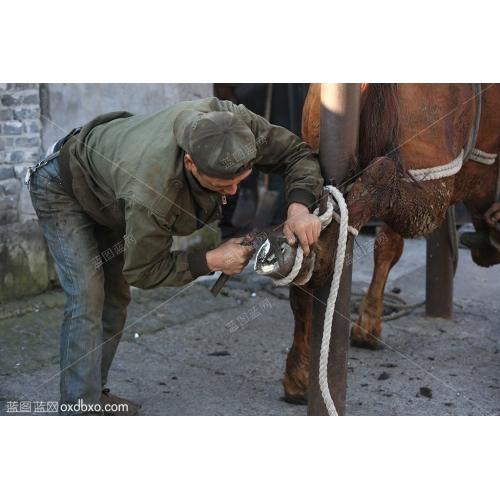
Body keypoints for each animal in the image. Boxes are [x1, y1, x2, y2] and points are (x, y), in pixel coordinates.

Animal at [282, 82, 500, 402]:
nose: (488, 252)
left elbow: (385, 248)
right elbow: (392, 247)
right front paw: (368, 326)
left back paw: (297, 374)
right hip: (432, 193)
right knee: (381, 180)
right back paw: (322, 258)